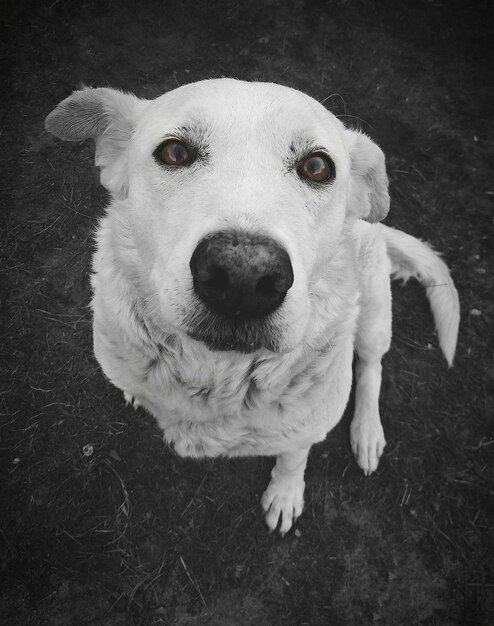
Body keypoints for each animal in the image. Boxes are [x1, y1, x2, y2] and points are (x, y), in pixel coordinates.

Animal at [45, 78, 460, 532]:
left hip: (373, 315)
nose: (243, 277)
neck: (221, 377)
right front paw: (137, 393)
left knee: (371, 367)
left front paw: (285, 493)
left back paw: (367, 432)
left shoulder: (307, 427)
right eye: (174, 153)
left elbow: (294, 457)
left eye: (317, 166)